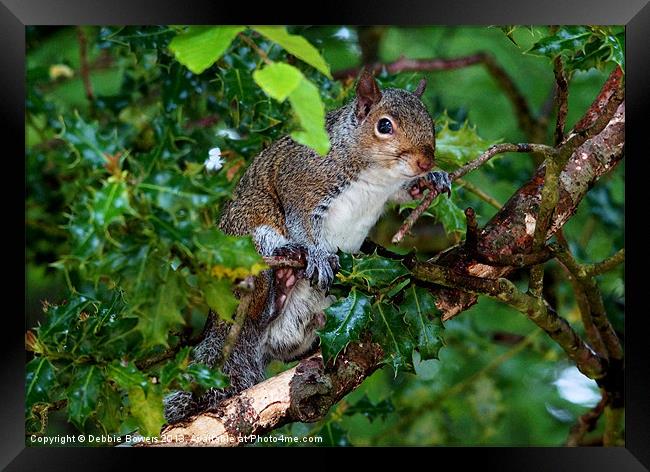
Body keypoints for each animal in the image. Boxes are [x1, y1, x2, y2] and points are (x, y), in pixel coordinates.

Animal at [162, 68, 448, 422]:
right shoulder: (301, 180)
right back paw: (281, 280)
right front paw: (319, 255)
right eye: (384, 126)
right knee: (255, 309)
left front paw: (432, 180)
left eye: (430, 121)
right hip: (248, 244)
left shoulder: (389, 189)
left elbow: (403, 193)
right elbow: (301, 220)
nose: (425, 162)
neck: (375, 173)